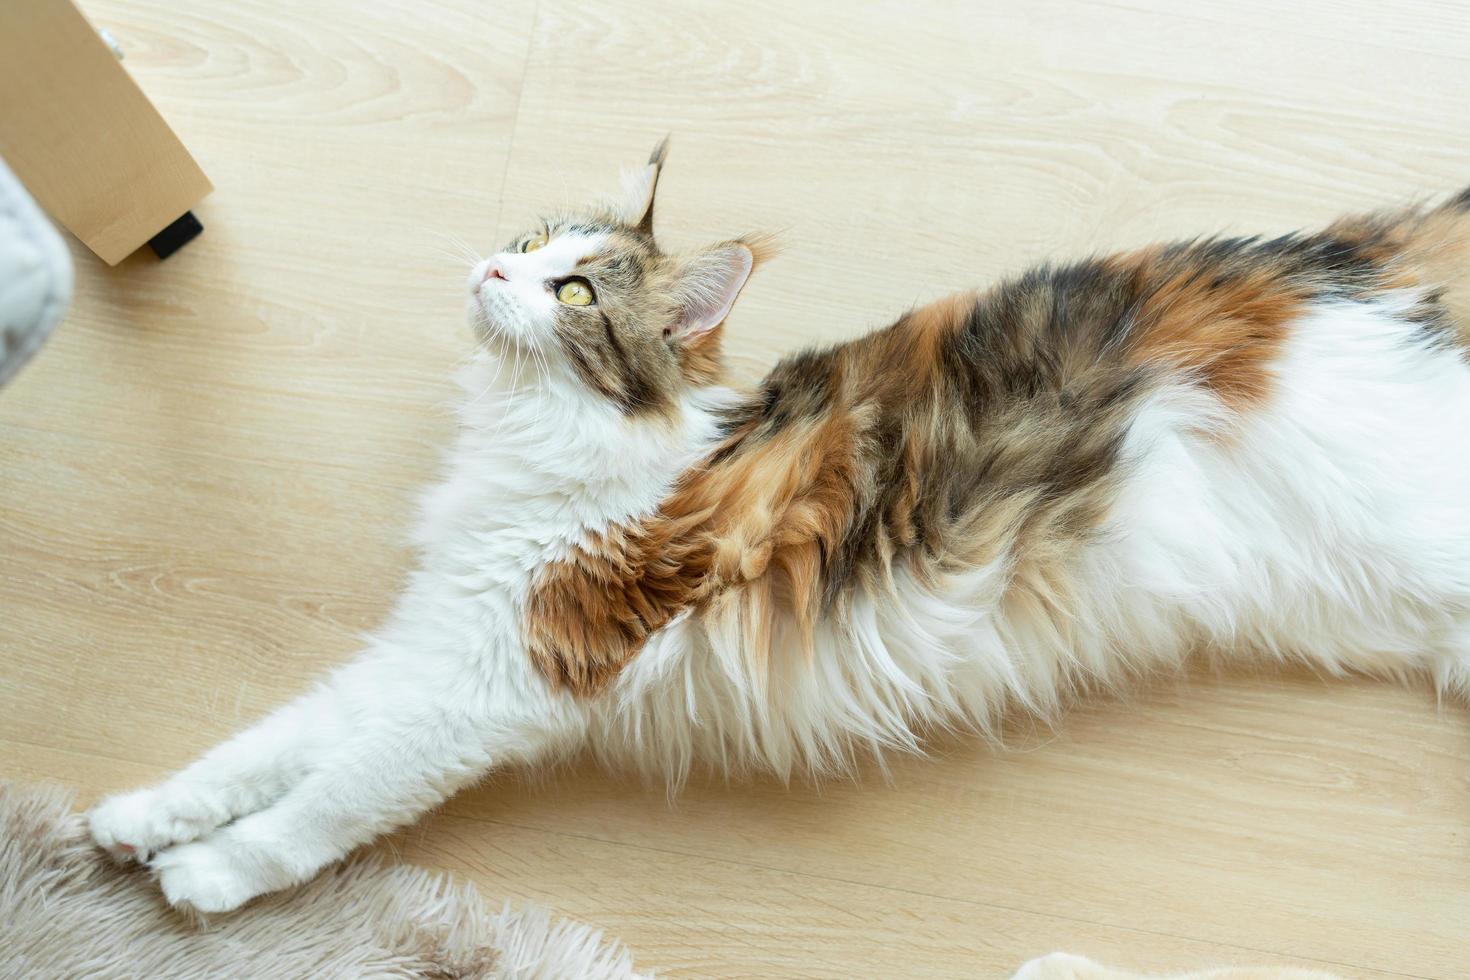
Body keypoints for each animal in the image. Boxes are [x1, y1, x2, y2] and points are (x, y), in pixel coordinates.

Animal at [85, 139, 1464, 922]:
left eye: (573, 290)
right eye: (529, 242)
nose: (490, 270)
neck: (546, 449)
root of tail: (1347, 265)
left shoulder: (500, 679)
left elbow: (324, 801)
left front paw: (210, 878)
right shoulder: (430, 644)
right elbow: (262, 748)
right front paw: (139, 818)